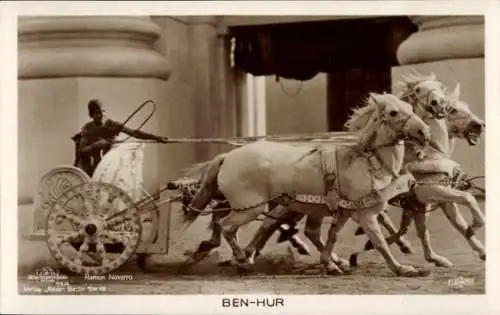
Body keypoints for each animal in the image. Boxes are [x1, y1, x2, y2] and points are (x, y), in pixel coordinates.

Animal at [182, 92, 432, 278]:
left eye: (409, 107)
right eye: (393, 112)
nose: (425, 132)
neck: (366, 160)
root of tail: (228, 157)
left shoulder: (343, 212)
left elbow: (331, 236)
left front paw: (331, 263)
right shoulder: (365, 214)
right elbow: (379, 242)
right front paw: (402, 268)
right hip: (251, 209)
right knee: (226, 226)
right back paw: (242, 259)